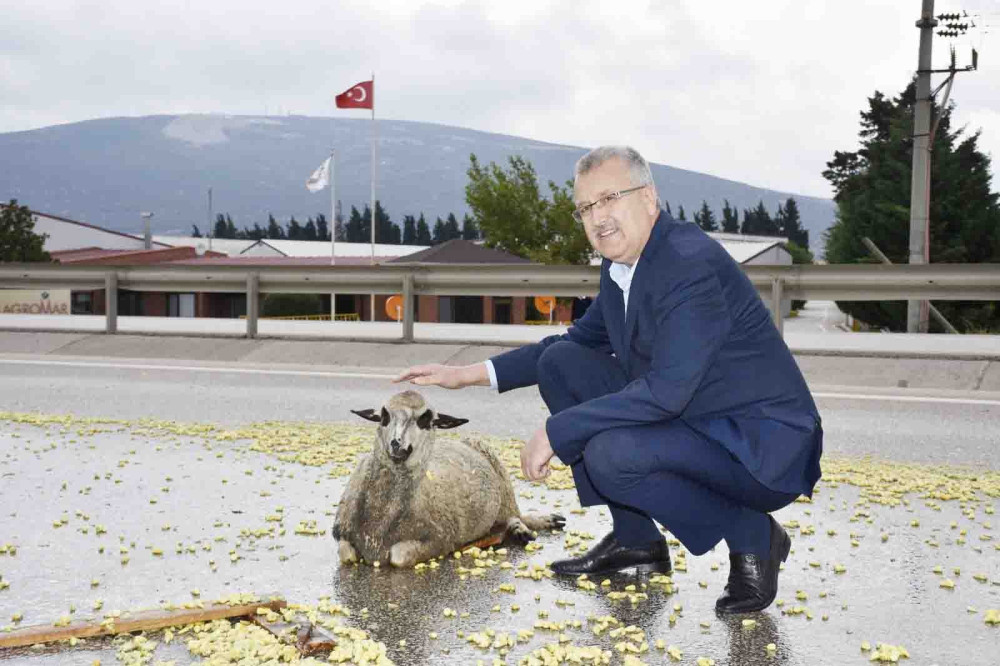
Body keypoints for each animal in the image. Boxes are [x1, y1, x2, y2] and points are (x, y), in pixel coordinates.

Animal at [330, 390, 560, 564]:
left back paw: (523, 529)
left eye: (426, 419)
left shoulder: (438, 541)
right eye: (384, 415)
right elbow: (347, 555)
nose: (396, 444)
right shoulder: (341, 535)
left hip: (504, 486)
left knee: (515, 515)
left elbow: (398, 556)